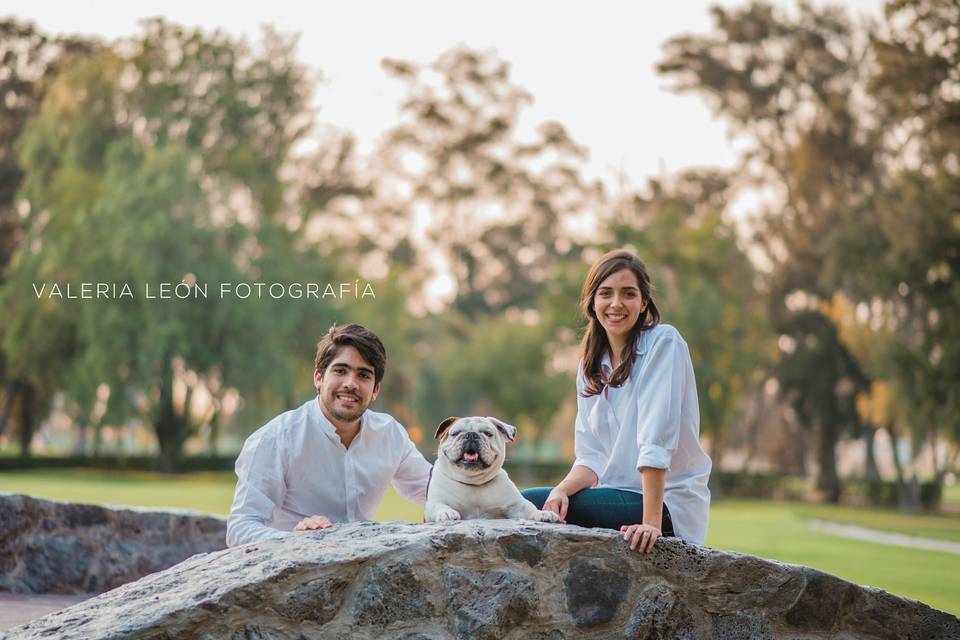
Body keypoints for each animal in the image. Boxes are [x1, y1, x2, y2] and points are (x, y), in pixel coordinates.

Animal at [424, 416, 560, 524]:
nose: (471, 434)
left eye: (487, 433)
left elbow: (529, 507)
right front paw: (446, 512)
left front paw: (542, 513)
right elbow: (438, 506)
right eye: (456, 433)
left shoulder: (517, 505)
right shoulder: (434, 503)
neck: (473, 482)